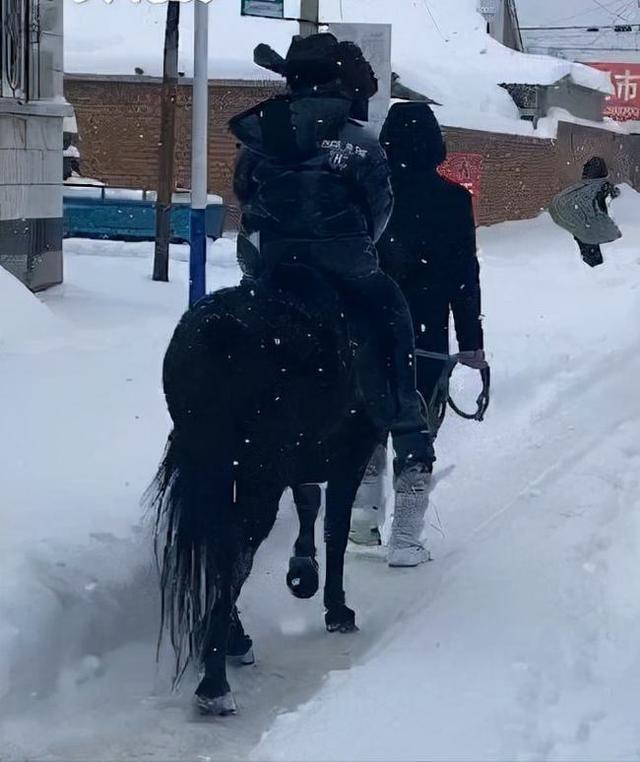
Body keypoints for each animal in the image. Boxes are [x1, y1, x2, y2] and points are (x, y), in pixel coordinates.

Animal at [149, 262, 396, 712]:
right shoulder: (349, 456)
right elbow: (334, 528)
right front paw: (337, 609)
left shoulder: (301, 467)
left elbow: (308, 503)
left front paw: (303, 571)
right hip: (257, 475)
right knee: (235, 553)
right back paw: (215, 682)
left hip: (216, 470)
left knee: (220, 548)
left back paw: (230, 643)